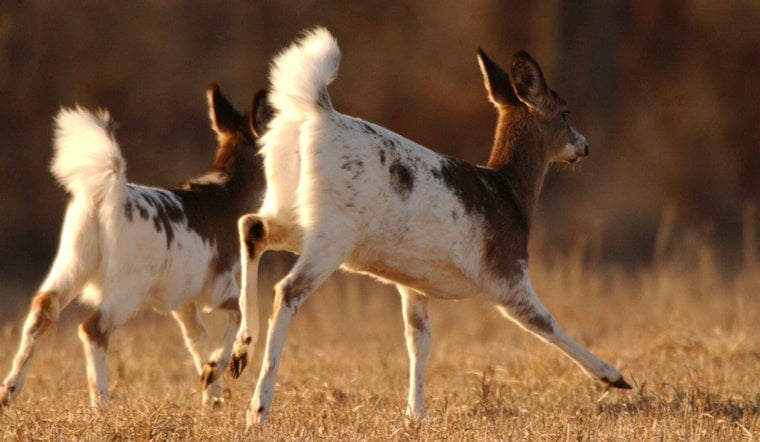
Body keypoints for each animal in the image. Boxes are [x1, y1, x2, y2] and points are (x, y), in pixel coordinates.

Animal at [0, 84, 270, 408]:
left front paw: (212, 393)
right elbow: (238, 314)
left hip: (72, 261)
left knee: (42, 309)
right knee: (92, 328)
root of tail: (104, 196)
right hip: (127, 285)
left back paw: (8, 391)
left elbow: (196, 339)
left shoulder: (182, 301)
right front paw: (215, 374)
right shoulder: (217, 287)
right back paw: (101, 403)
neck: (230, 195)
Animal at [234, 27, 631, 426]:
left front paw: (415, 414)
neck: (512, 195)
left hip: (292, 212)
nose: (584, 146)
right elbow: (546, 323)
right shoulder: (506, 273)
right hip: (333, 231)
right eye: (565, 111)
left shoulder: (413, 284)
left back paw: (240, 352)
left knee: (251, 226)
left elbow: (418, 341)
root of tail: (316, 113)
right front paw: (614, 376)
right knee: (286, 289)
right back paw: (257, 408)